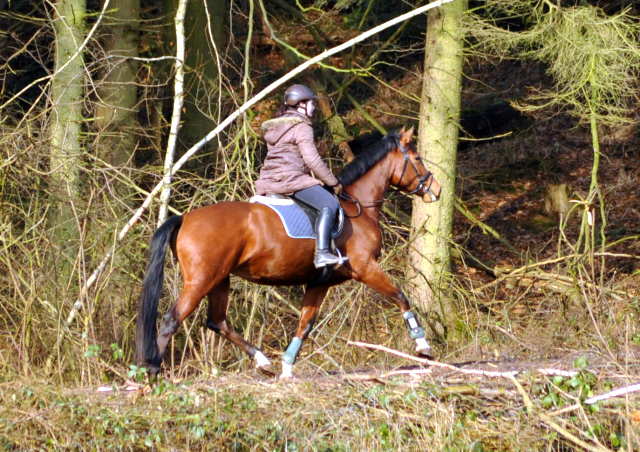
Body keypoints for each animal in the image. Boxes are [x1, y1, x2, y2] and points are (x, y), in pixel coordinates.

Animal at [136, 127, 440, 378]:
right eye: (417, 158)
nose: (435, 190)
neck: (358, 206)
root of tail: (185, 218)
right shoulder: (365, 267)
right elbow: (401, 297)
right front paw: (422, 346)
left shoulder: (321, 282)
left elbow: (305, 323)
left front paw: (287, 366)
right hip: (201, 280)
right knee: (172, 320)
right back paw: (151, 373)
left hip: (219, 279)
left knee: (217, 321)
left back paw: (262, 361)